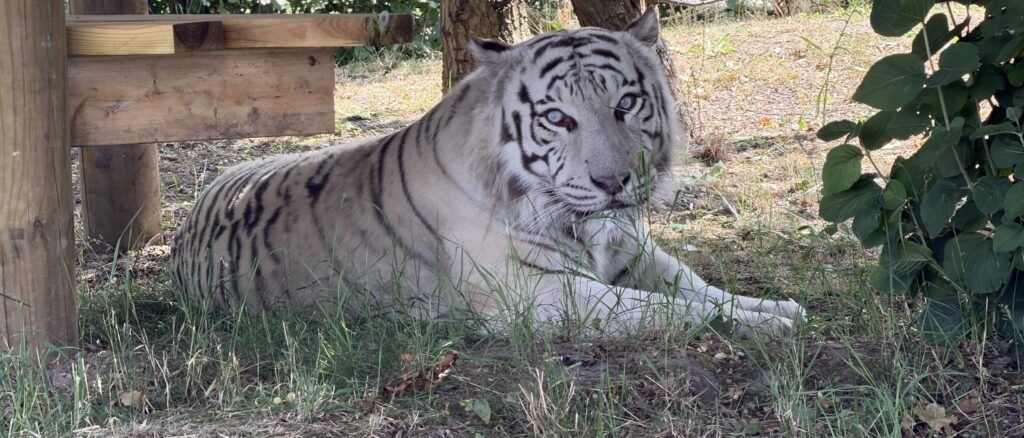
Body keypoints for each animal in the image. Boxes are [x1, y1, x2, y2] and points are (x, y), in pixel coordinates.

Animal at [169, 9, 805, 337]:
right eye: (557, 118)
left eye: (625, 104)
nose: (613, 183)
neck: (589, 224)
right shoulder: (539, 292)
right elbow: (668, 309)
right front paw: (769, 325)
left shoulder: (632, 249)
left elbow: (697, 286)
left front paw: (776, 307)